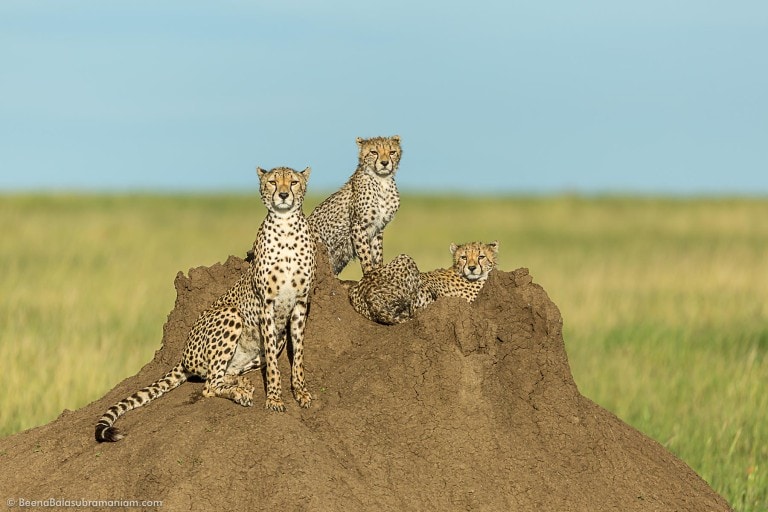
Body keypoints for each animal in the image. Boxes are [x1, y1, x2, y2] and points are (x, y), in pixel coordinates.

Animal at [94, 166, 316, 442]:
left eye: (294, 182)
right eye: (273, 182)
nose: (284, 195)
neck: (286, 228)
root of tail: (183, 355)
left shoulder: (300, 303)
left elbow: (299, 354)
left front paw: (301, 392)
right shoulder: (267, 304)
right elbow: (275, 369)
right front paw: (274, 399)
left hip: (269, 342)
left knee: (222, 375)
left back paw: (240, 384)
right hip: (231, 314)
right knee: (210, 386)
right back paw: (239, 393)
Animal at [308, 134, 402, 274]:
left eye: (392, 152)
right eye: (374, 152)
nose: (385, 163)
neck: (382, 181)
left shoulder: (378, 228)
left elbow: (377, 254)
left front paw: (378, 272)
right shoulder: (358, 225)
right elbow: (365, 254)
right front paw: (369, 274)